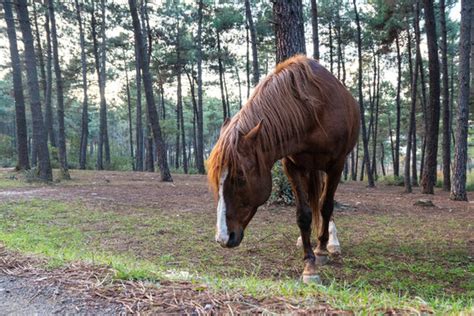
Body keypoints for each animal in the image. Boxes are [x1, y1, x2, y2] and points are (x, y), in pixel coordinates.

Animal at [207, 54, 360, 282]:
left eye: (240, 177)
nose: (223, 238)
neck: (313, 112)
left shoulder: (337, 165)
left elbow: (326, 206)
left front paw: (321, 251)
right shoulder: (292, 166)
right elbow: (303, 214)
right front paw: (309, 264)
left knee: (325, 203)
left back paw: (329, 242)